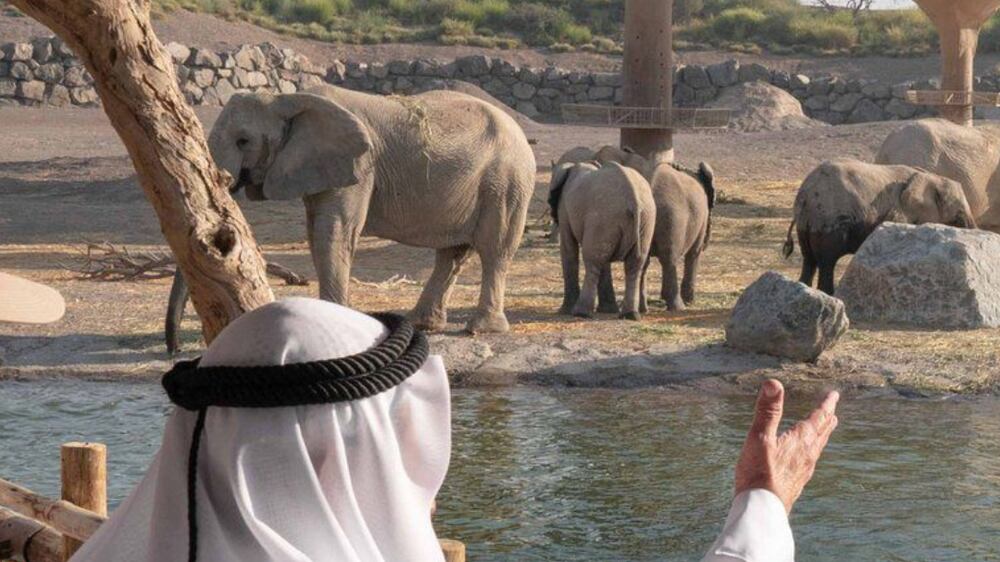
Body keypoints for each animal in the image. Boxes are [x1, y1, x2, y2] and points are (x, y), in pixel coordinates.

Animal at [201, 86, 540, 332]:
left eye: (243, 141)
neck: (287, 98)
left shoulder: (360, 165)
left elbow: (334, 231)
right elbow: (316, 231)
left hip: (506, 182)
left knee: (494, 248)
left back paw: (482, 329)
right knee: (453, 253)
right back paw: (422, 323)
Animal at [548, 161, 656, 320]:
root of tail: (634, 199)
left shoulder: (564, 209)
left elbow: (569, 249)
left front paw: (564, 311)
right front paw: (608, 310)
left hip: (604, 218)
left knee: (593, 262)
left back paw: (580, 313)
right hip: (644, 220)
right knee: (633, 265)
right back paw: (630, 315)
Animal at [780, 159, 976, 294]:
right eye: (959, 216)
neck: (932, 177)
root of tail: (805, 194)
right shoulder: (900, 211)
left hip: (808, 223)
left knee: (809, 260)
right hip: (828, 218)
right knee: (827, 261)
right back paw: (829, 294)